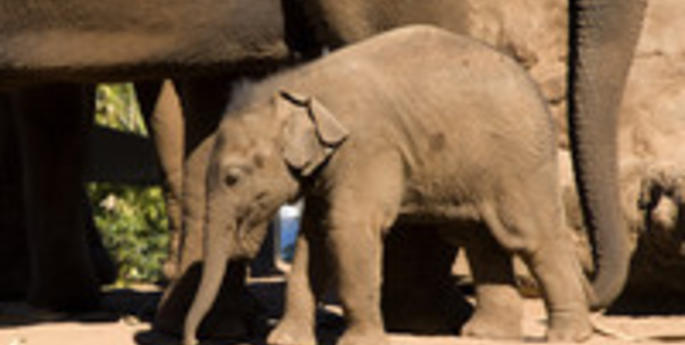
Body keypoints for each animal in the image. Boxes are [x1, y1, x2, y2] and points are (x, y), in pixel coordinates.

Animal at [184, 24, 592, 344]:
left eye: (233, 177)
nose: (192, 339)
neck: (301, 82)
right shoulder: (328, 165)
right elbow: (312, 239)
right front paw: (285, 340)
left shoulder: (367, 146)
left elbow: (348, 228)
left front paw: (360, 342)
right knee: (479, 238)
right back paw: (485, 335)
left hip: (519, 160)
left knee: (530, 234)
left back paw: (568, 336)